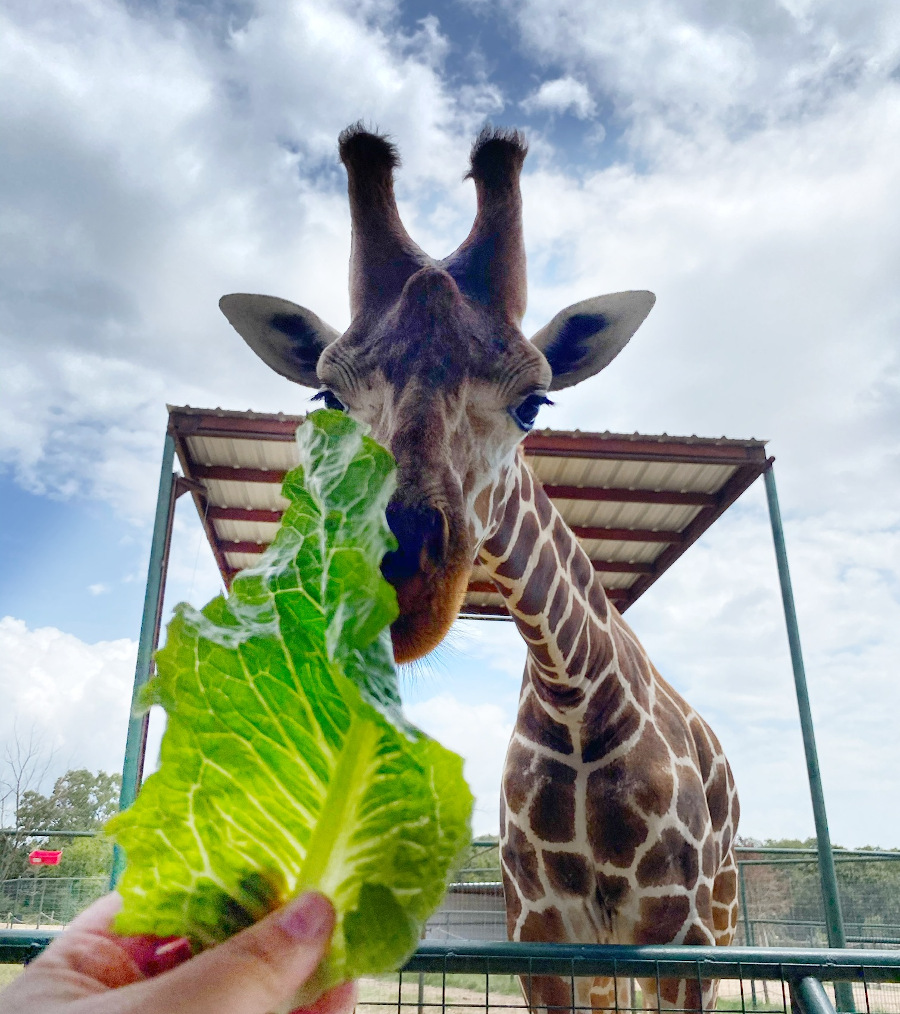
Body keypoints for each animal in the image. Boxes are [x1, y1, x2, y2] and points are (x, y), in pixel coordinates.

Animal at [217, 128, 737, 1014]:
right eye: (327, 398)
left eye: (535, 404)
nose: (393, 590)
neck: (578, 707)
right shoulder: (542, 932)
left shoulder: (682, 936)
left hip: (724, 910)